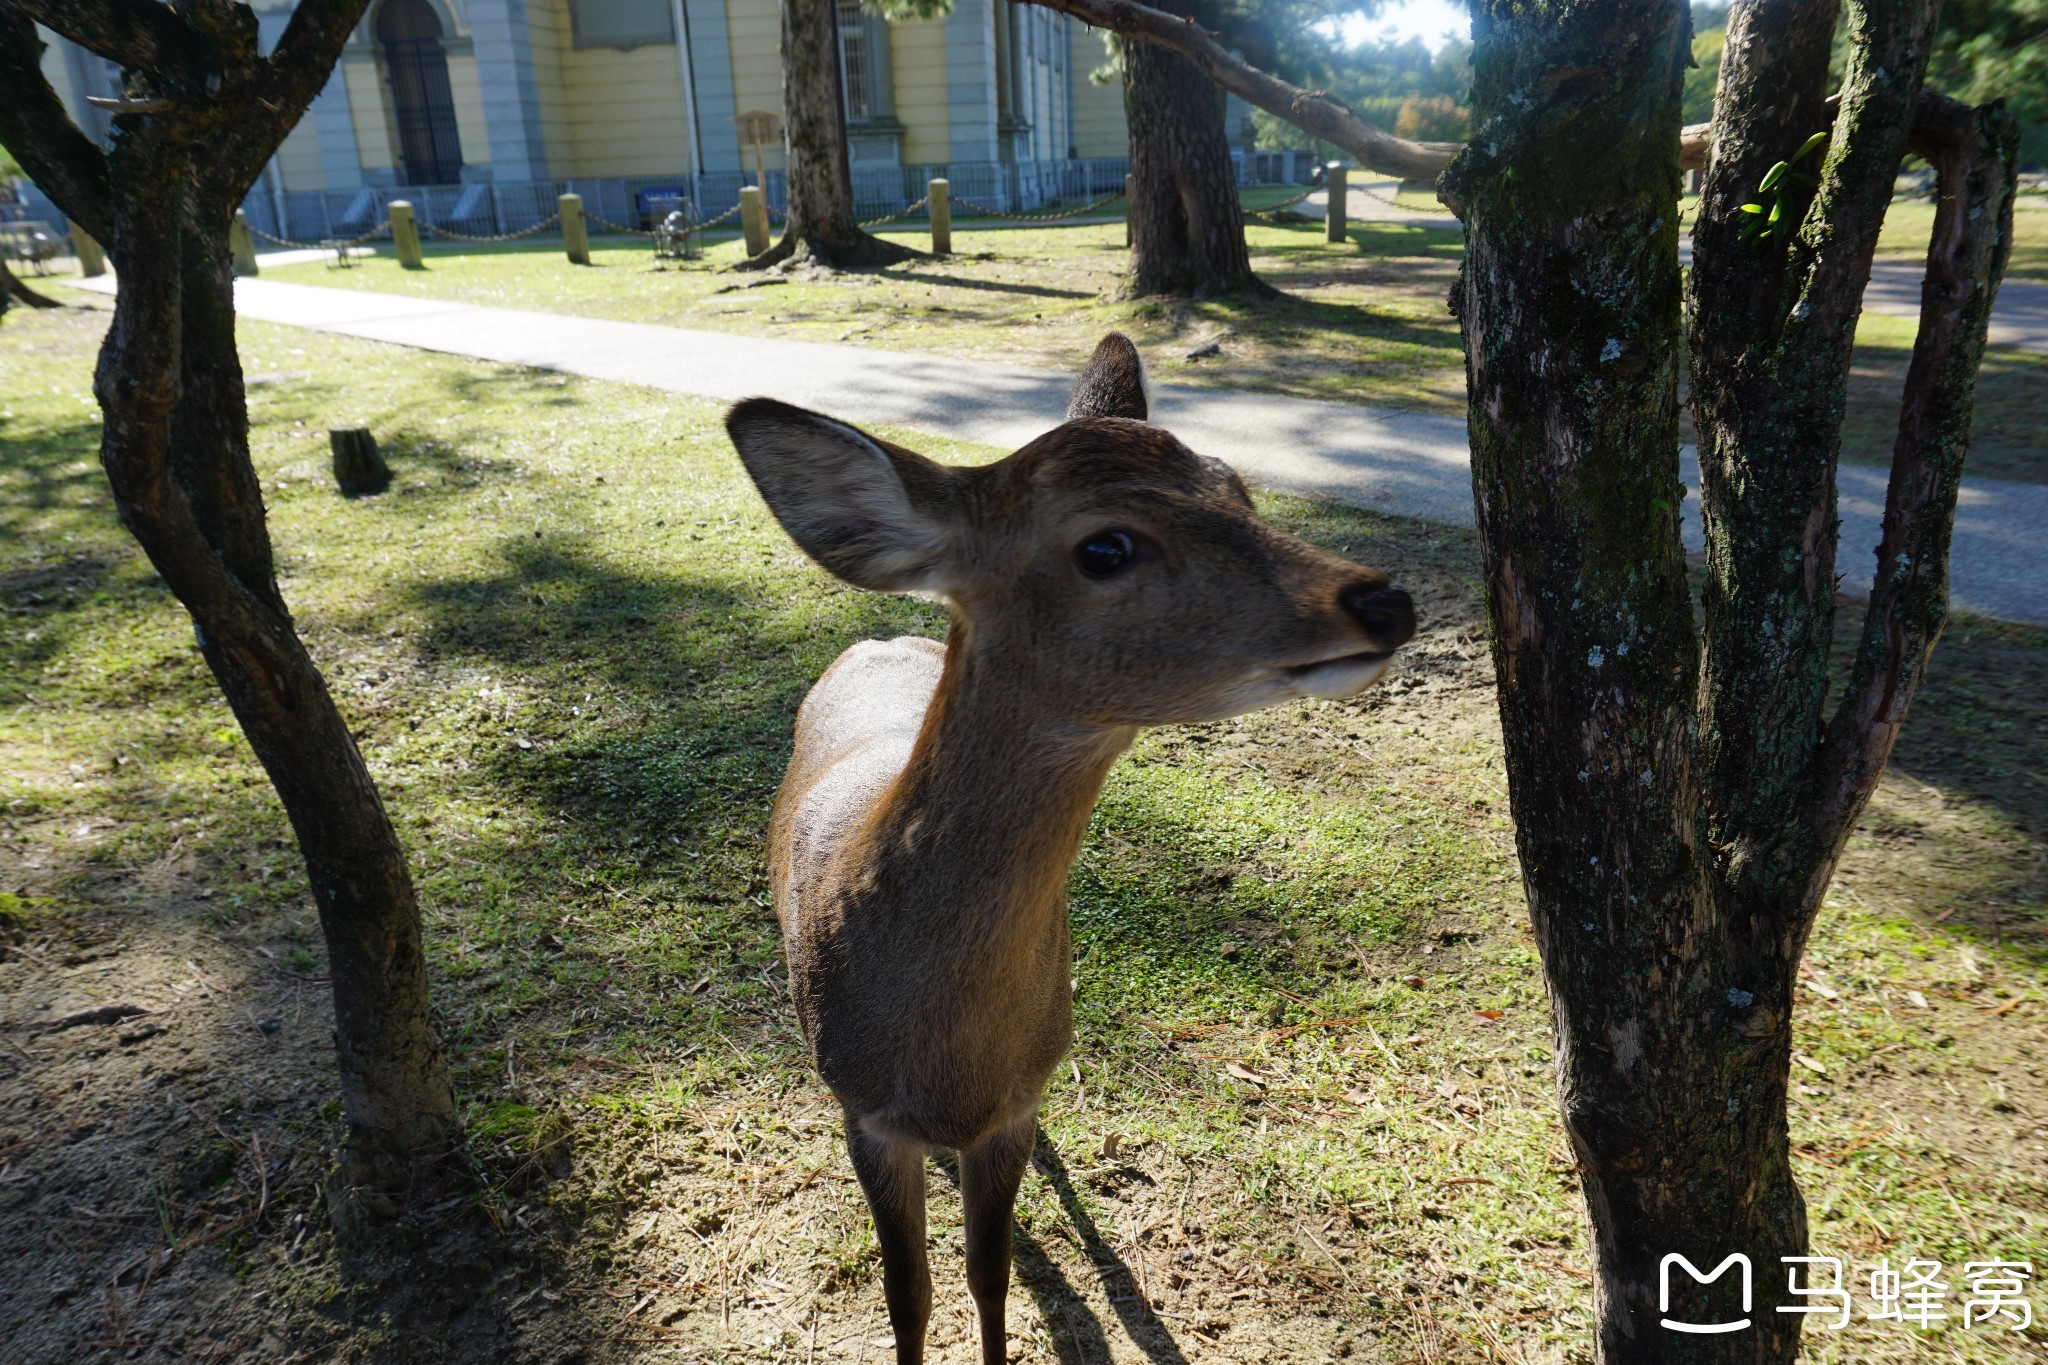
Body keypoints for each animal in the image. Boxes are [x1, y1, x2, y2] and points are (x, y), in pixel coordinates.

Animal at [729, 333, 1417, 1365]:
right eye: (1105, 546)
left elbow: (989, 1273)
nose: (1383, 599)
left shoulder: (1017, 1102)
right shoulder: (863, 1107)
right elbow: (907, 1293)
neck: (945, 1052)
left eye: (1236, 486)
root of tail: (881, 633)